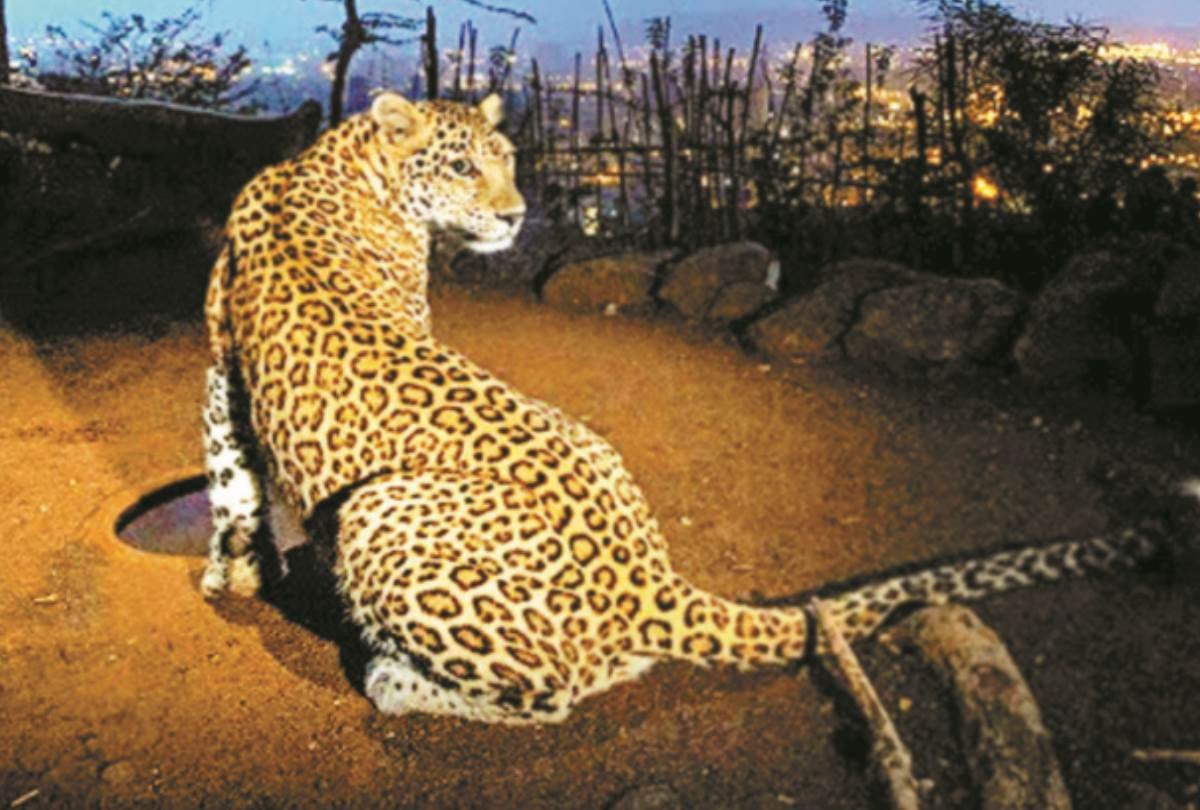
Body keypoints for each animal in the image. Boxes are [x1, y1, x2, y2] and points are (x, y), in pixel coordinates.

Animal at [200, 90, 1166, 724]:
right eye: (465, 165)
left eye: (508, 160)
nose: (516, 216)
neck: (340, 162)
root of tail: (652, 579)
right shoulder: (222, 360)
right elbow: (231, 476)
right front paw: (240, 571)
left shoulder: (225, 364)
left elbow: (228, 472)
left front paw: (234, 574)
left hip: (379, 509)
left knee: (548, 697)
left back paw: (394, 682)